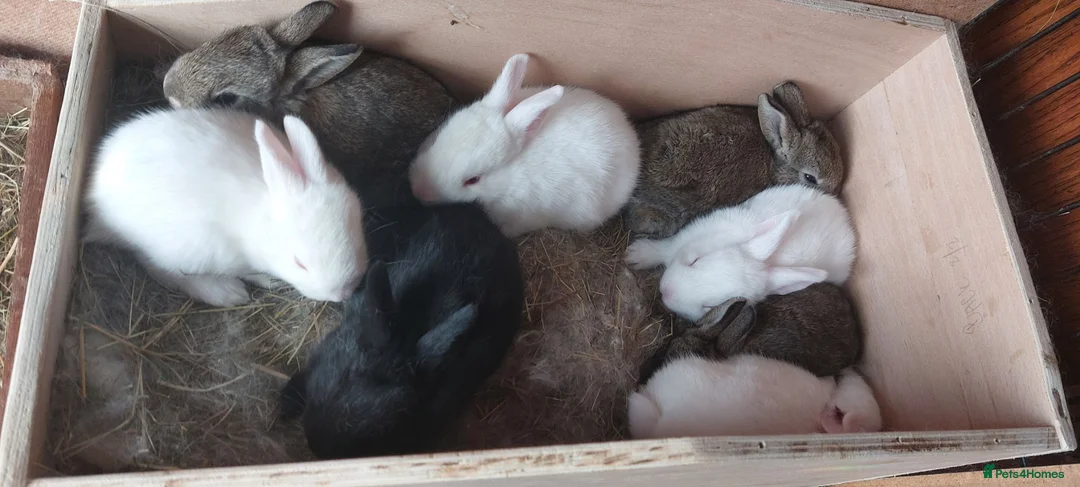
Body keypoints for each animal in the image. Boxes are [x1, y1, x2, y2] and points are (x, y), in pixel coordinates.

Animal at [83, 108, 367, 307]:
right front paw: (268, 281)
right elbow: (250, 272)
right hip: (181, 249)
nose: (342, 294)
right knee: (161, 269)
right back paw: (228, 292)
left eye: (358, 236)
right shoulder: (232, 257)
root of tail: (94, 195)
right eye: (300, 263)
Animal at [408, 53, 641, 238]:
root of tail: (629, 132)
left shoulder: (522, 218)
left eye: (473, 180)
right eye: (438, 139)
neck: (507, 180)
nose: (418, 190)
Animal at [625, 184, 855, 321]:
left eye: (710, 306)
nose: (666, 292)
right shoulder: (687, 237)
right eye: (695, 261)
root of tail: (845, 219)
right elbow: (665, 247)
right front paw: (635, 255)